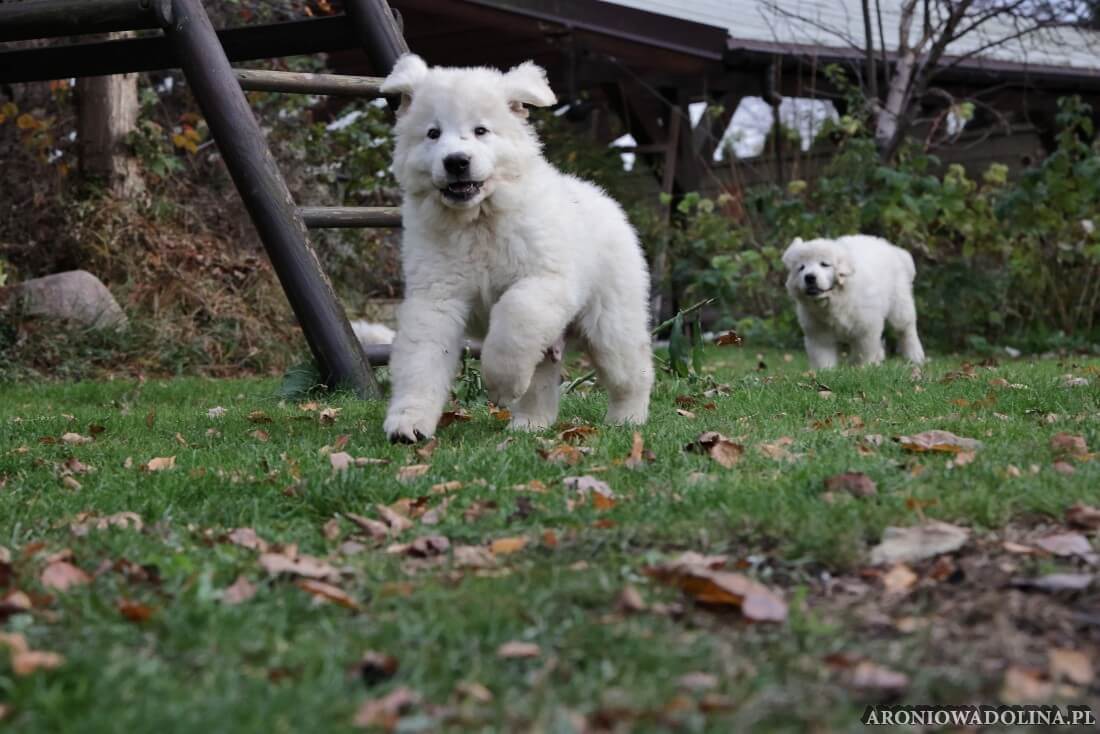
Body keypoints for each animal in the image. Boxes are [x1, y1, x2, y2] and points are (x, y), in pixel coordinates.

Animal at [378, 54, 653, 442]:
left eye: (481, 131)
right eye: (433, 134)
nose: (456, 161)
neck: (478, 220)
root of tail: (604, 199)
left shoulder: (544, 281)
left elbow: (513, 315)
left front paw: (501, 384)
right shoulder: (435, 297)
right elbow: (421, 360)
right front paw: (409, 422)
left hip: (611, 322)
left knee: (632, 370)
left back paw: (627, 418)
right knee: (542, 378)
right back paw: (530, 423)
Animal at [782, 235, 925, 369]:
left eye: (824, 264)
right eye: (801, 268)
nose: (809, 277)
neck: (836, 300)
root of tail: (891, 248)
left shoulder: (866, 328)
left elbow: (862, 353)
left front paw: (860, 369)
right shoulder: (818, 334)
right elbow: (822, 357)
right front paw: (826, 372)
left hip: (899, 305)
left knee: (906, 329)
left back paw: (915, 356)